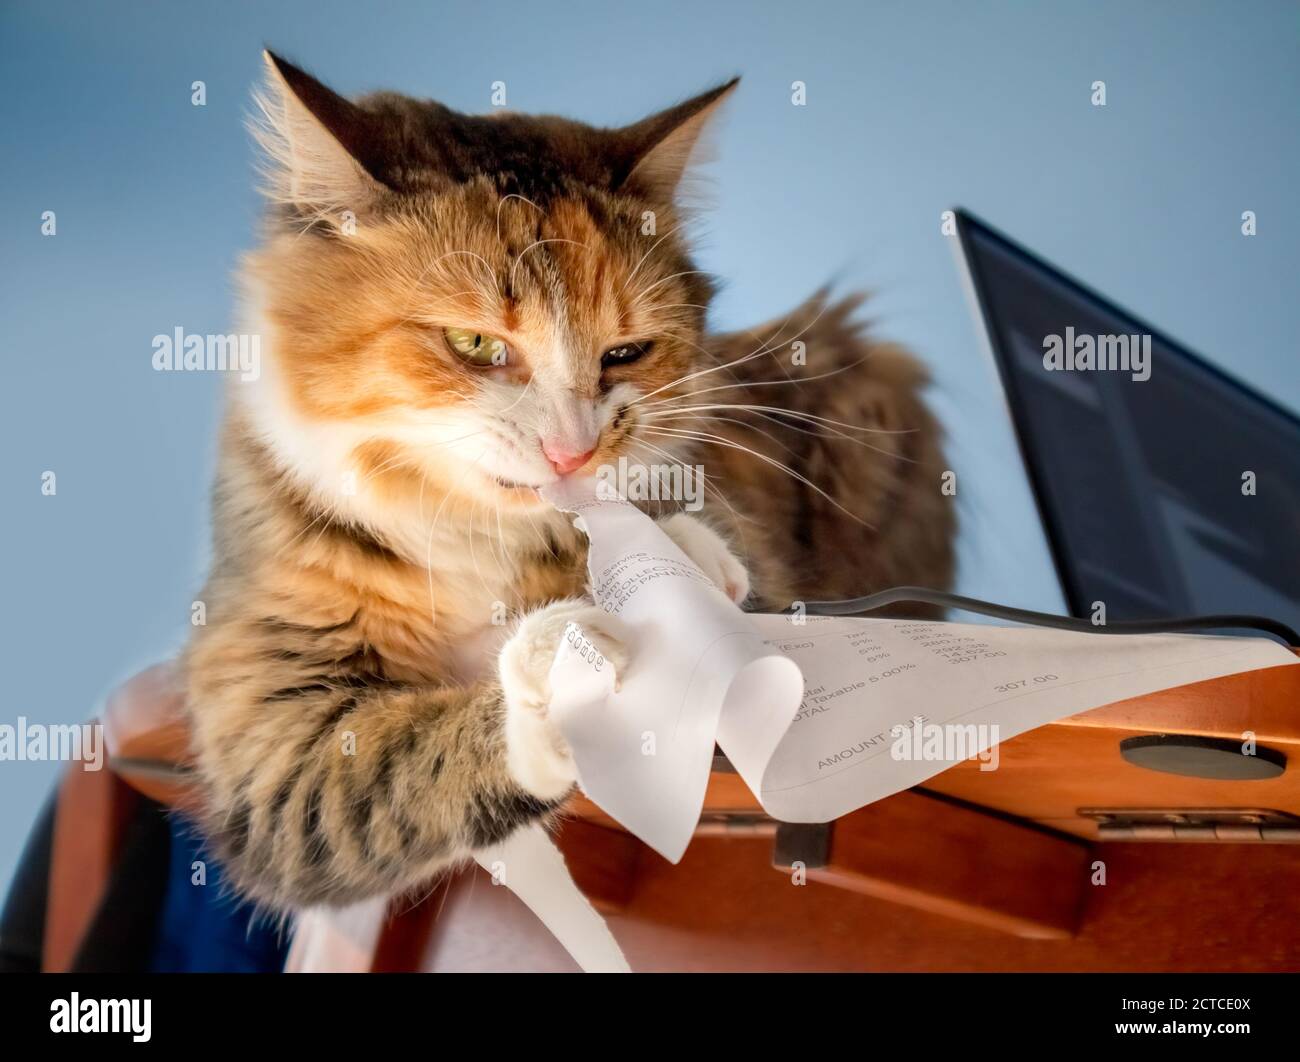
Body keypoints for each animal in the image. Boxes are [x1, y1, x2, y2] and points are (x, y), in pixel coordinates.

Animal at [183, 53, 956, 909]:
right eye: (474, 343)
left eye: (625, 353)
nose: (571, 453)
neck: (473, 542)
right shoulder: (271, 735)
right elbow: (403, 756)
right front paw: (569, 663)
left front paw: (678, 567)